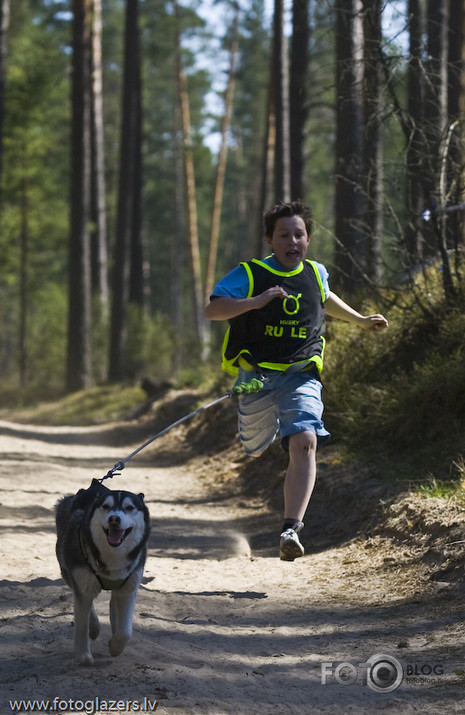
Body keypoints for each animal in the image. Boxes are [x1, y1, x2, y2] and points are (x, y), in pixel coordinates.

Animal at [54, 482, 150, 664]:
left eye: (129, 507)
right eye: (106, 506)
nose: (114, 519)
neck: (112, 556)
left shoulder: (129, 588)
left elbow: (125, 631)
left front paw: (115, 647)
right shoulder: (82, 582)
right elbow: (81, 624)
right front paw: (83, 655)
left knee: (113, 602)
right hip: (69, 572)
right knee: (84, 602)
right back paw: (94, 627)